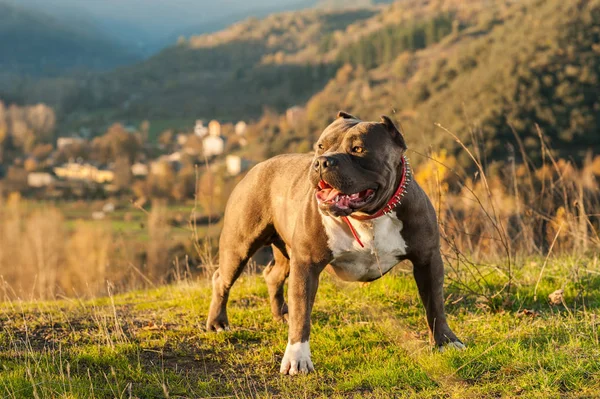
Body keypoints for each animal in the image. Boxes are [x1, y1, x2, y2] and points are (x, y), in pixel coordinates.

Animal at [206, 111, 464, 376]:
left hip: (286, 250)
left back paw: (280, 314)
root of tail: (258, 166)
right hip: (240, 245)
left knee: (272, 275)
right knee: (222, 279)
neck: (368, 216)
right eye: (320, 146)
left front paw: (446, 341)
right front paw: (297, 358)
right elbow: (302, 312)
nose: (321, 162)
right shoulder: (306, 264)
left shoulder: (427, 259)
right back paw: (218, 322)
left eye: (358, 149)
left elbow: (435, 303)